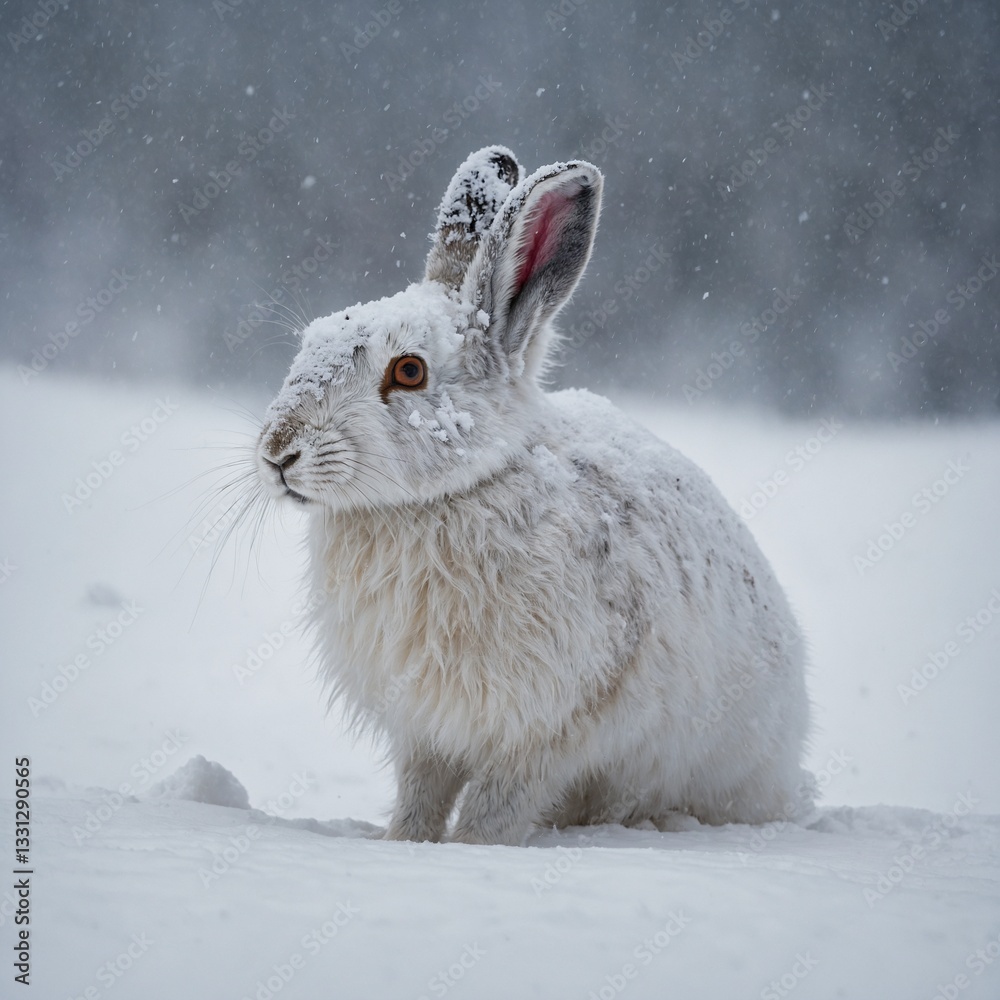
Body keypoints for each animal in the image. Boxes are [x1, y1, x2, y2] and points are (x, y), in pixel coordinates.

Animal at [254, 145, 814, 846]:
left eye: (409, 371)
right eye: (311, 342)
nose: (277, 452)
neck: (452, 493)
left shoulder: (546, 729)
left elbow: (498, 804)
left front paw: (472, 850)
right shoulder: (426, 728)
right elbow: (420, 793)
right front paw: (403, 845)